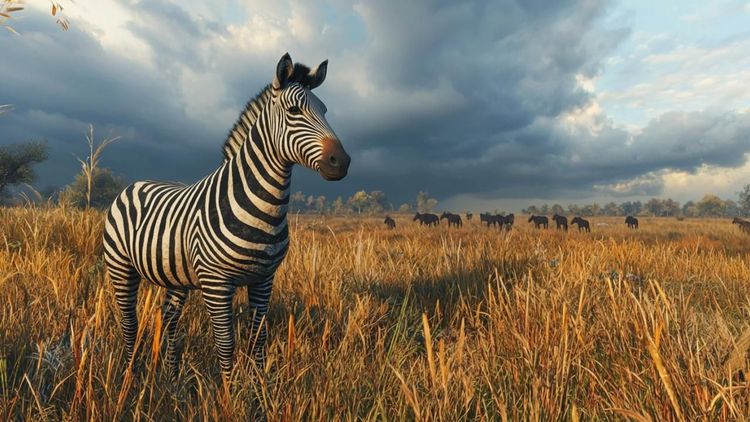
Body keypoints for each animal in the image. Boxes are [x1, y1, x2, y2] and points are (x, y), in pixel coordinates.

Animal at [102, 53, 350, 382]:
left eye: (324, 110)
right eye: (294, 111)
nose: (342, 162)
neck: (264, 208)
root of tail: (135, 183)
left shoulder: (264, 279)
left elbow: (258, 338)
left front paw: (259, 388)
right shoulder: (216, 280)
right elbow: (226, 343)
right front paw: (229, 391)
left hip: (176, 275)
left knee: (169, 317)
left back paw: (172, 376)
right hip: (120, 266)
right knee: (129, 322)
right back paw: (129, 373)